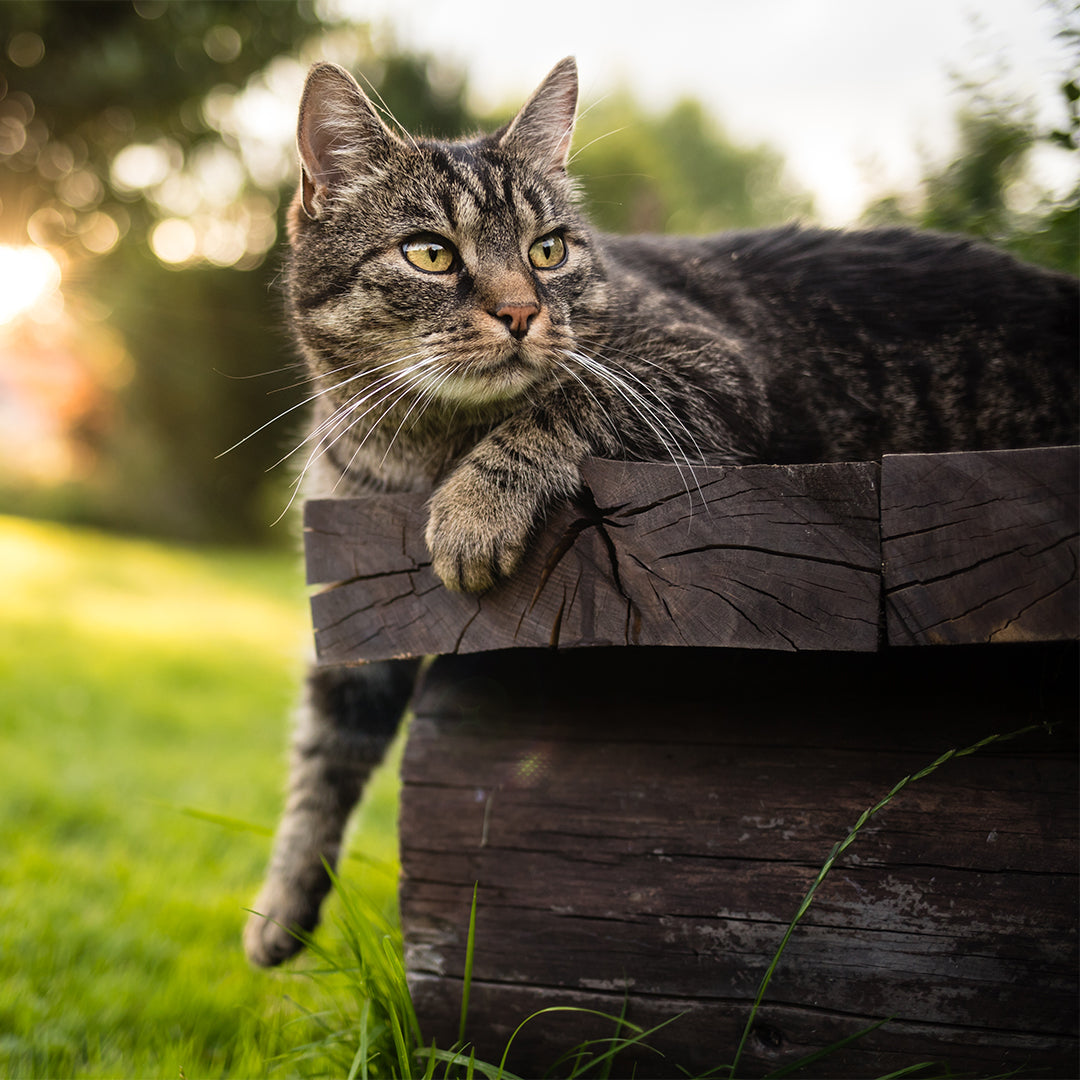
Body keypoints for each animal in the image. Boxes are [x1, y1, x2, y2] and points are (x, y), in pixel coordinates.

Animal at [240, 54, 1075, 967]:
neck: (419, 453)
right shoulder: (349, 586)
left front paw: (473, 508)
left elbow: (564, 402)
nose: (521, 311)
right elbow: (322, 756)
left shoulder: (706, 370)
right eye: (429, 253)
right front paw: (279, 908)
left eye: (547, 249)